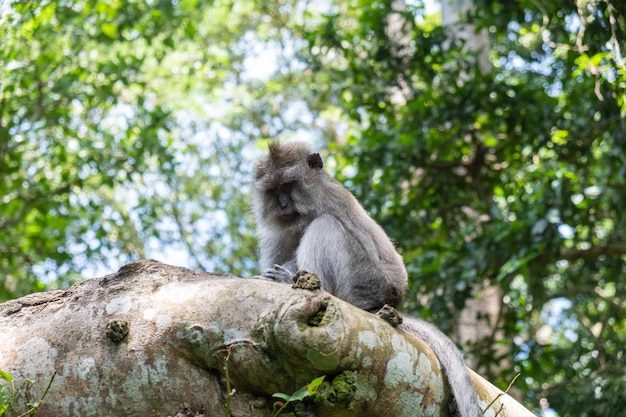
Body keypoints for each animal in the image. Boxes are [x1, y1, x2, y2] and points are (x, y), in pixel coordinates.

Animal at [251, 142, 480, 416]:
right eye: (273, 190)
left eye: (288, 184)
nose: (284, 205)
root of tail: (387, 303)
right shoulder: (274, 233)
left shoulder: (330, 202)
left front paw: (285, 277)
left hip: (365, 282)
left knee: (326, 226)